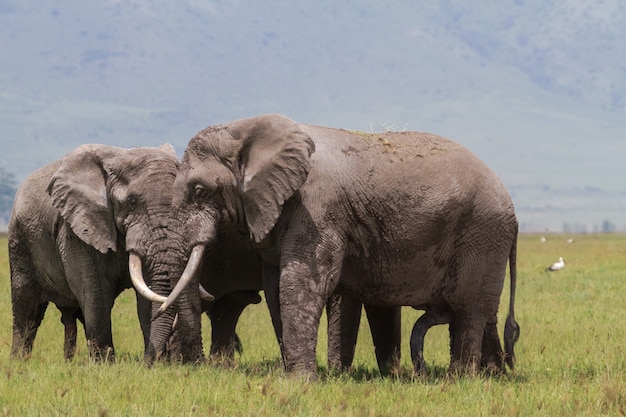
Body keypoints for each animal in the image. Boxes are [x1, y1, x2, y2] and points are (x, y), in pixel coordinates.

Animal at [146, 114, 516, 376]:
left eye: (199, 190)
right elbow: (275, 287)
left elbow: (301, 283)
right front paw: (295, 375)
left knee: (469, 308)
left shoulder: (318, 208)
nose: (159, 362)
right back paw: (491, 375)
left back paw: (461, 378)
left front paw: (303, 381)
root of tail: (510, 205)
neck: (248, 130)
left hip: (481, 232)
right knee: (479, 311)